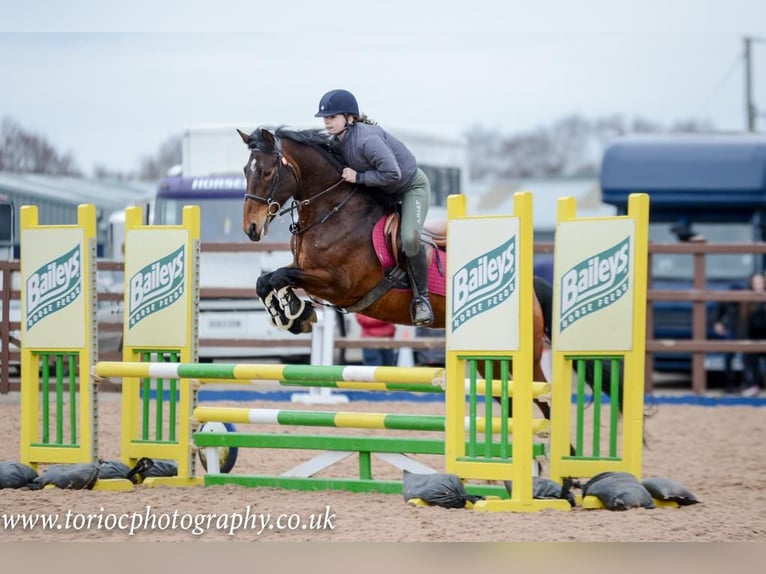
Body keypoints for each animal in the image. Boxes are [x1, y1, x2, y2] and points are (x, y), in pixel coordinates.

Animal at [242, 126, 624, 424]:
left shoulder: (340, 284)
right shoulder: (313, 276)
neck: (332, 210)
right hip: (490, 363)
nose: (251, 228)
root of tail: (530, 287)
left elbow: (280, 276)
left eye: (266, 172)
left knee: (543, 403)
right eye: (247, 170)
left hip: (523, 359)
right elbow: (267, 281)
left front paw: (294, 313)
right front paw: (292, 315)